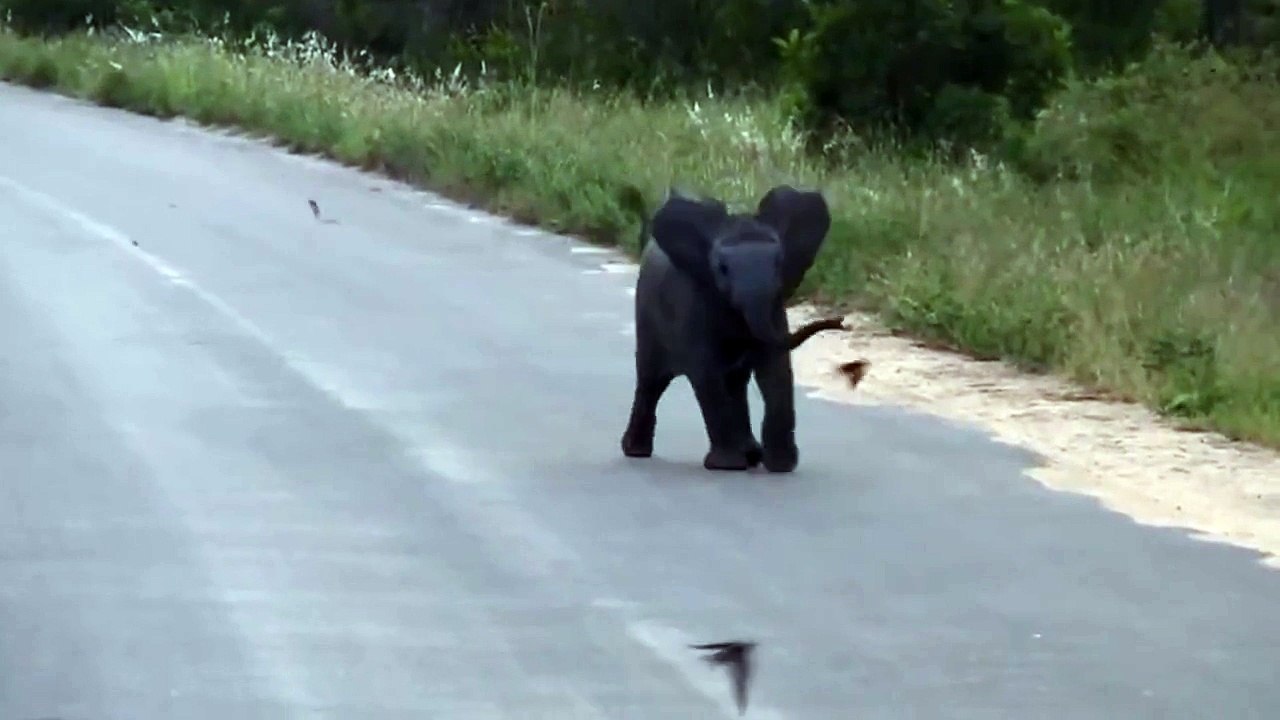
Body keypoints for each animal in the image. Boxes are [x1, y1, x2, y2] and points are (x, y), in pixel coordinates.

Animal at [620, 184, 835, 473]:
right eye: (722, 268)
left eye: (779, 264)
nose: (840, 321)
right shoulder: (694, 304)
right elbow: (706, 372)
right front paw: (728, 466)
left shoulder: (775, 309)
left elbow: (776, 371)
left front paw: (781, 467)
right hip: (647, 316)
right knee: (651, 380)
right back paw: (636, 452)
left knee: (736, 383)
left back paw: (752, 455)